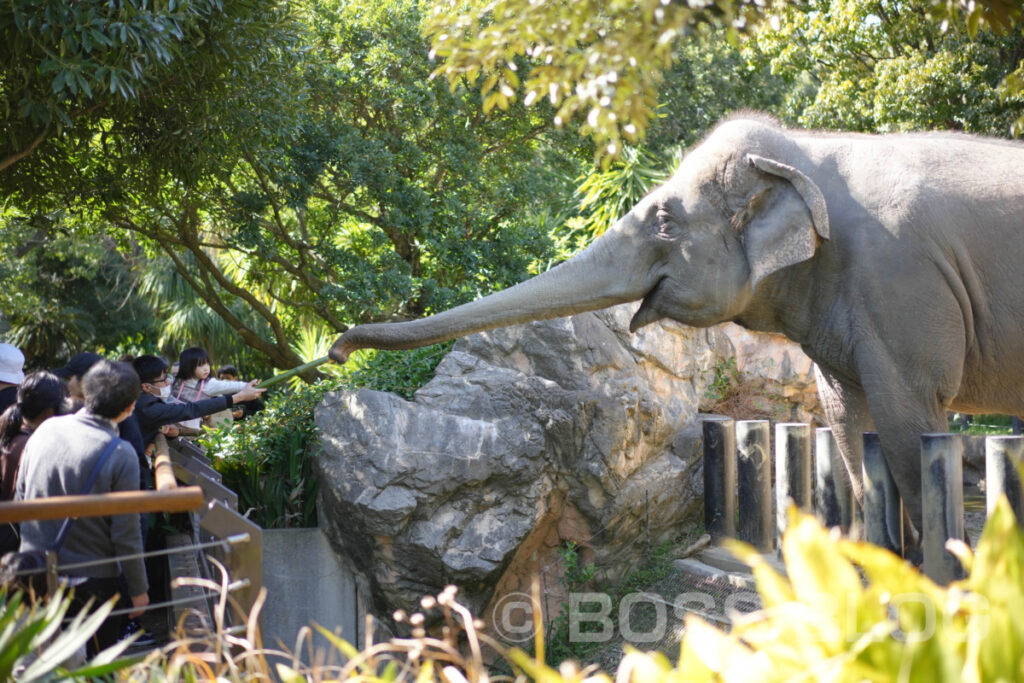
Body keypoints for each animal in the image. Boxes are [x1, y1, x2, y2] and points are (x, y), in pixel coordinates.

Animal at [331, 113, 1024, 544]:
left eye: (664, 221)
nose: (337, 351)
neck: (805, 150)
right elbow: (851, 425)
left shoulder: (901, 282)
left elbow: (911, 426)